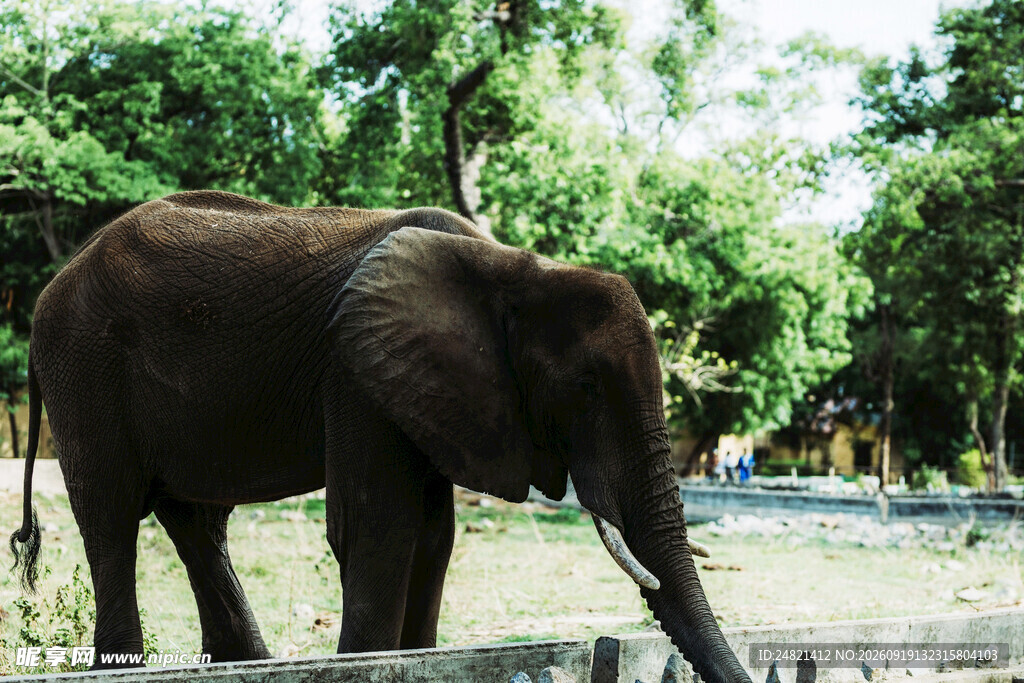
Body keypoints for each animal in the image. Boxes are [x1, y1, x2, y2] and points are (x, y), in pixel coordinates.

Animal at [10, 190, 750, 682]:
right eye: (587, 387)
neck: (514, 267)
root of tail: (50, 287)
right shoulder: (357, 373)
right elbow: (379, 528)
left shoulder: (432, 388)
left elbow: (433, 535)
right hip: (85, 368)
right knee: (112, 520)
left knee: (195, 523)